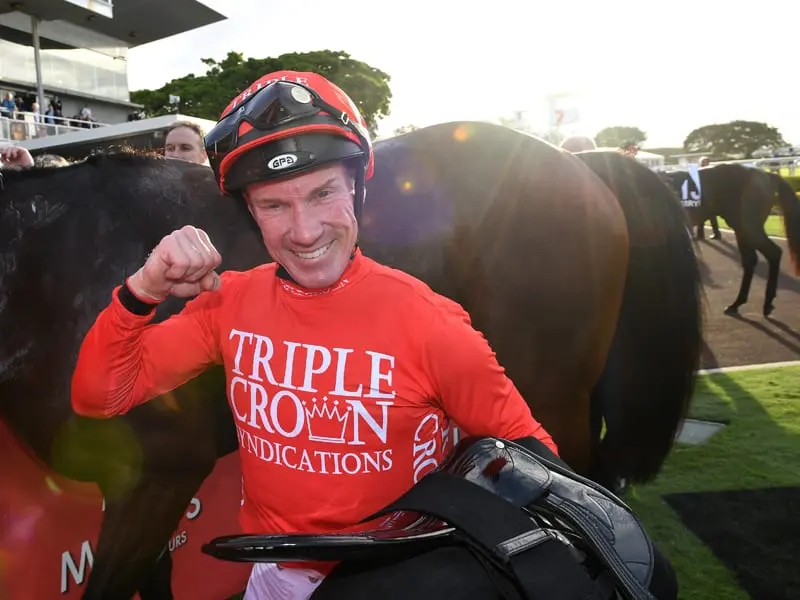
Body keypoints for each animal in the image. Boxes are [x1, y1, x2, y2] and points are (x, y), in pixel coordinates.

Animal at [664, 162, 800, 316]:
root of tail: (766, 175)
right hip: (741, 229)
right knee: (750, 260)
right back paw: (738, 303)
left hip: (749, 227)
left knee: (773, 253)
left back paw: (766, 303)